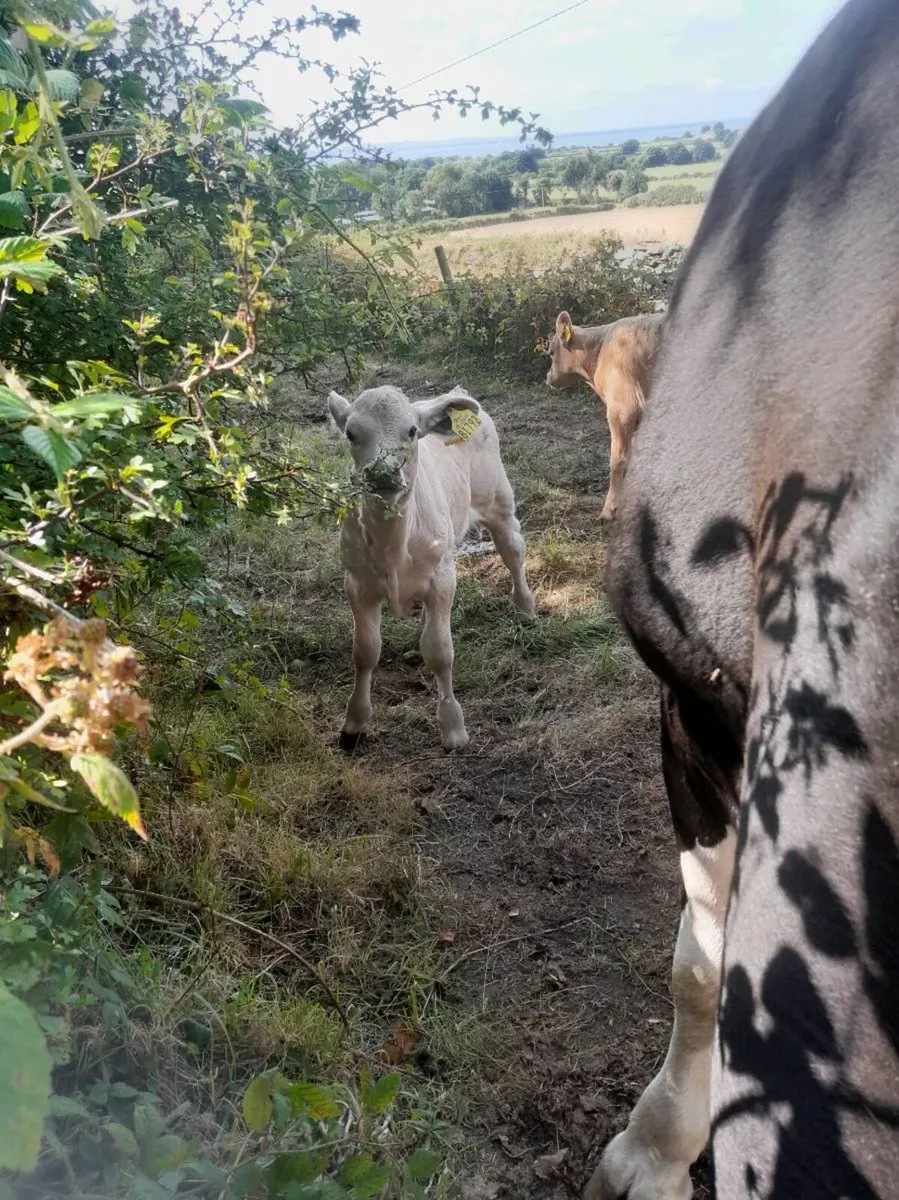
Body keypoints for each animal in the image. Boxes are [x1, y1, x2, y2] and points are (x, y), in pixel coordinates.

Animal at [327, 384, 535, 752]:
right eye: (351, 434)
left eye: (411, 431)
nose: (382, 474)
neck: (393, 545)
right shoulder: (356, 582)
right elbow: (365, 651)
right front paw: (354, 724)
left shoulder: (442, 578)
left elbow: (439, 651)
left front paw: (453, 727)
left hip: (497, 497)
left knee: (512, 548)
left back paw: (526, 607)